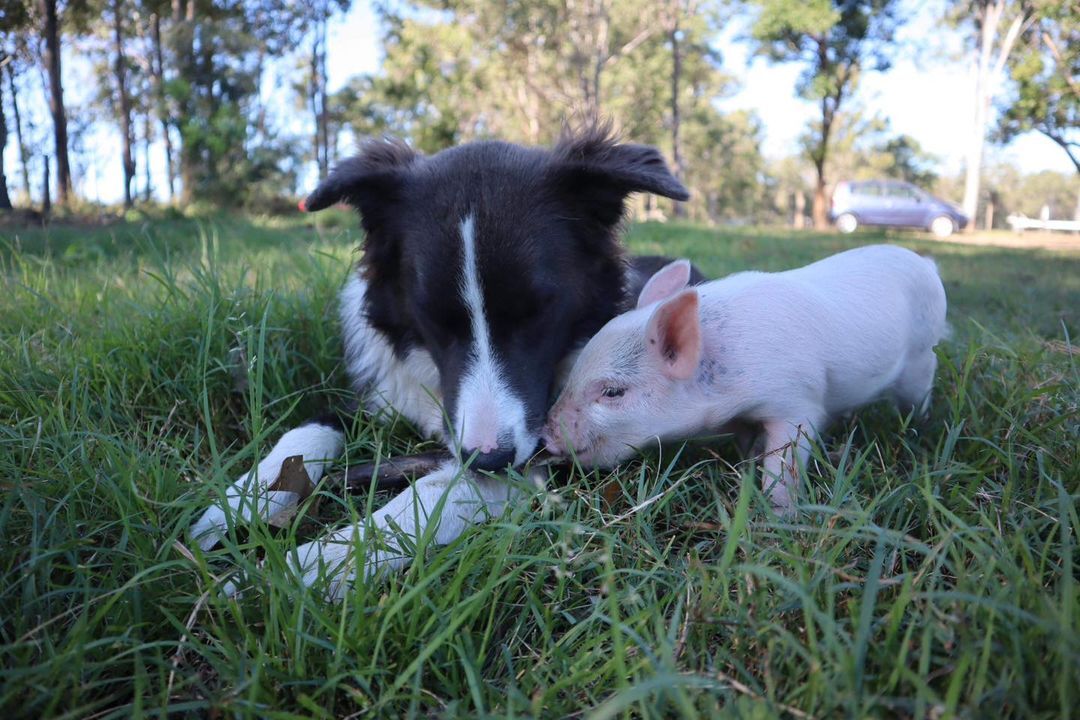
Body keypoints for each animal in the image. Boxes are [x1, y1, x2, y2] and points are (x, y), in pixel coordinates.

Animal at [192, 125, 691, 595]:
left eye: (538, 311)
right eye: (432, 315)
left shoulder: (534, 456)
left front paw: (296, 570)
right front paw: (233, 505)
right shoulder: (382, 395)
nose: (488, 459)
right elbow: (310, 429)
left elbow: (419, 504)